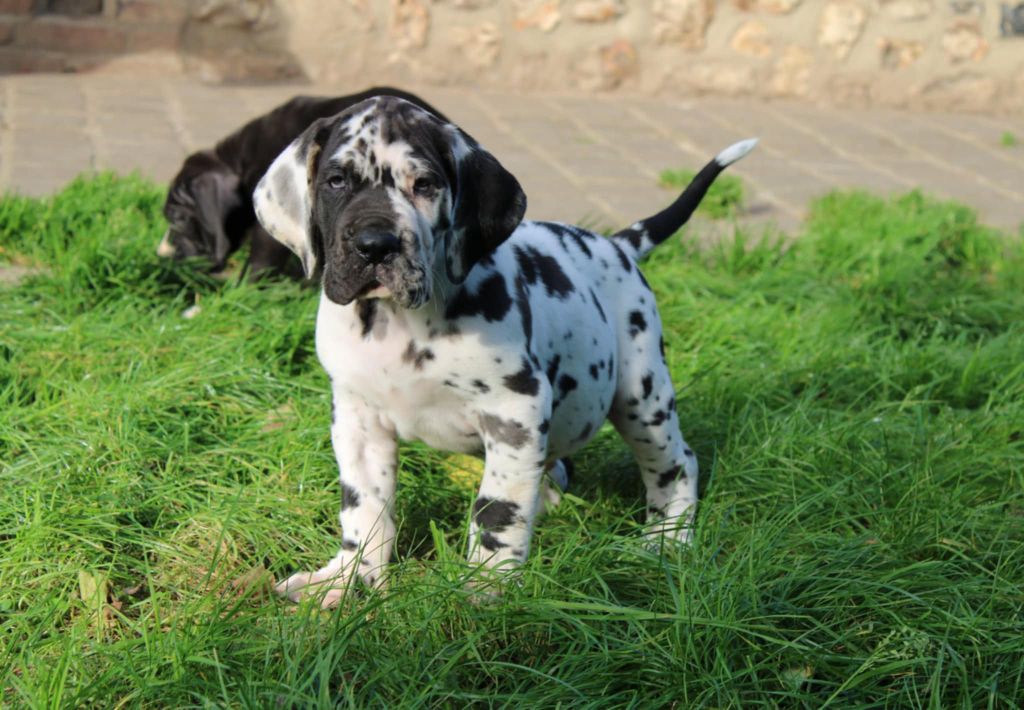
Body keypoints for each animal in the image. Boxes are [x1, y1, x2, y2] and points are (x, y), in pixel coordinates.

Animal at [252, 95, 757, 602]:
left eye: (425, 185)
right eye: (335, 181)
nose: (375, 245)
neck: (400, 322)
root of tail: (617, 245)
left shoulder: (514, 409)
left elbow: (494, 507)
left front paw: (484, 587)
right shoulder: (358, 419)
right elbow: (364, 505)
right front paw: (348, 578)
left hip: (641, 395)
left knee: (676, 464)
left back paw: (666, 540)